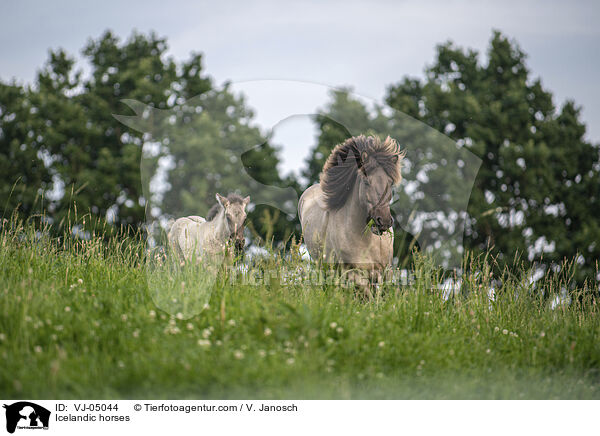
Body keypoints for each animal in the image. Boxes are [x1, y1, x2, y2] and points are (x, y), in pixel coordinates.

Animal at [298, 135, 406, 286]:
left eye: (390, 182)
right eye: (366, 181)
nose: (383, 221)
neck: (368, 240)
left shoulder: (385, 273)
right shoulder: (356, 275)